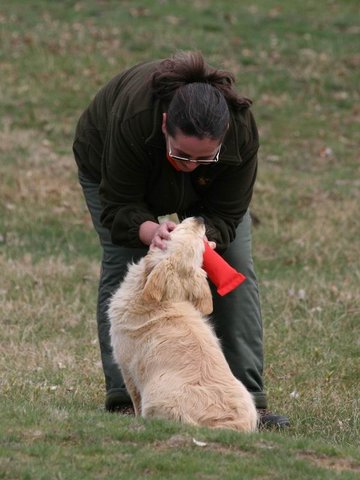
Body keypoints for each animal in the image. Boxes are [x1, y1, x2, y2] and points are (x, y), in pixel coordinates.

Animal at [108, 217, 258, 432]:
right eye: (202, 249)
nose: (200, 219)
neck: (168, 298)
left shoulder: (127, 367)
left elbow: (135, 400)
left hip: (155, 397)